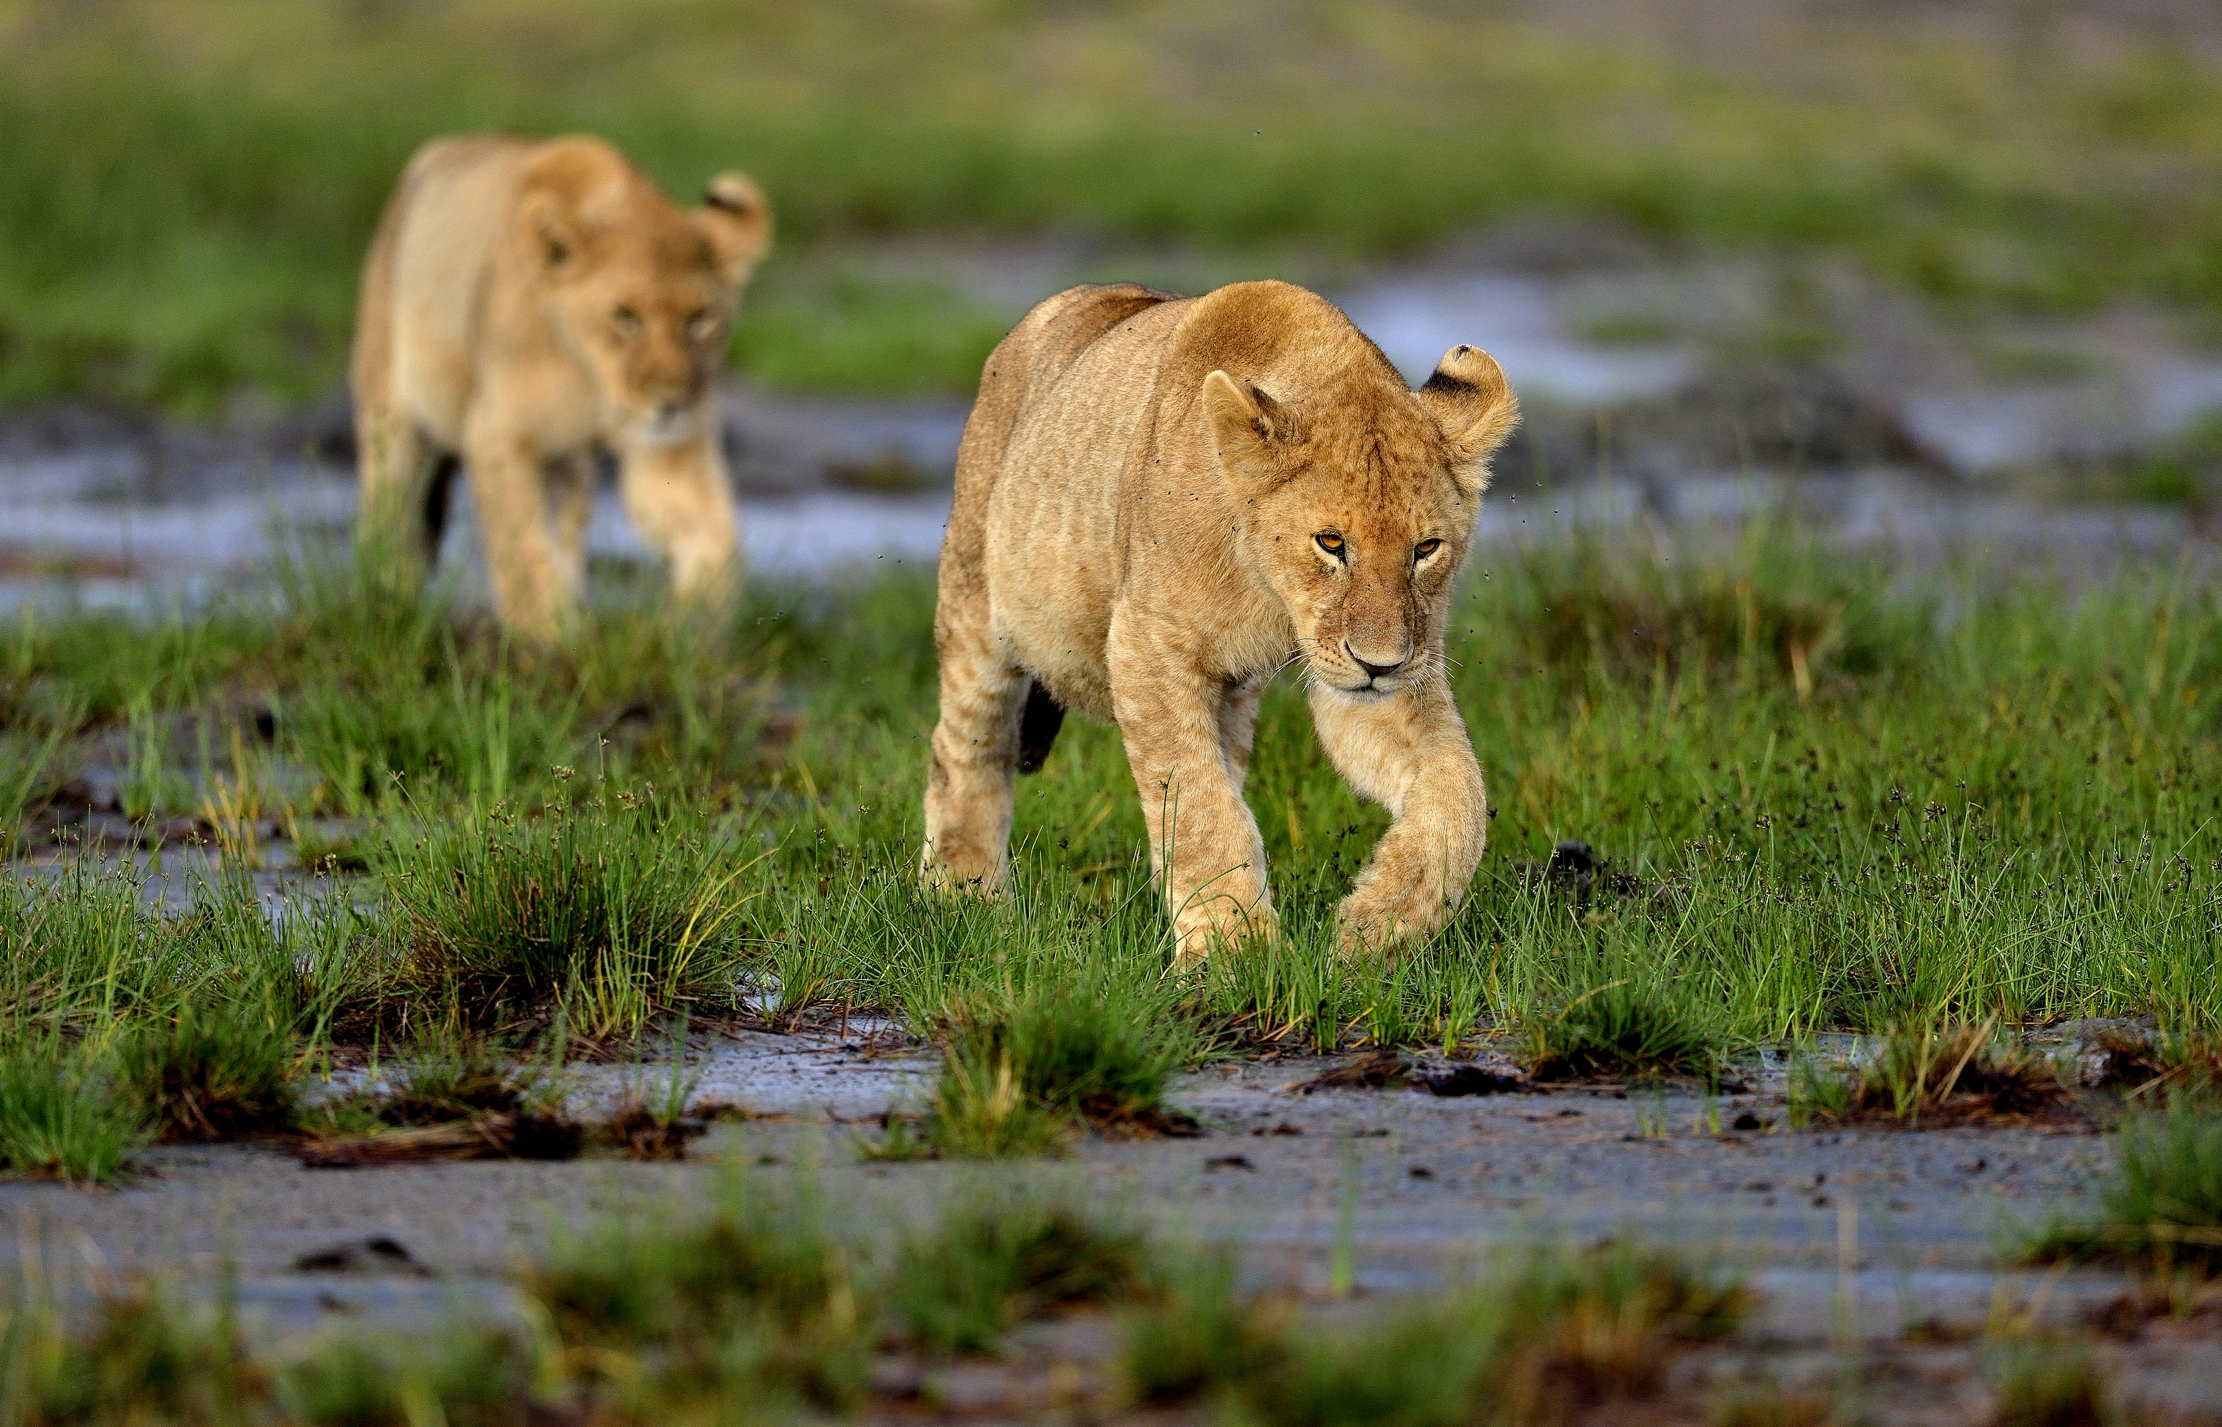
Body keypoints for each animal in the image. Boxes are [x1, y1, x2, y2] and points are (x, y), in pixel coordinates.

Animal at [350, 134, 772, 640]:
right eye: (625, 316)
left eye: (699, 319)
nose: (671, 404)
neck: (591, 382)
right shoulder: (498, 435)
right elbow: (523, 551)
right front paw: (548, 636)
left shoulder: (670, 451)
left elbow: (718, 541)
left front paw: (689, 628)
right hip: (390, 408)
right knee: (390, 508)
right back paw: (388, 598)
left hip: (569, 466)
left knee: (565, 523)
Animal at [920, 279, 1518, 964]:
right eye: (1331, 542)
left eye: (1426, 549)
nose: (1380, 663)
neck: (1270, 592)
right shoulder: (1146, 646)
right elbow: (1201, 810)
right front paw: (1235, 954)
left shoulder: (1377, 676)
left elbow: (1459, 792)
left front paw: (1381, 924)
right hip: (976, 604)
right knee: (966, 750)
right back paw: (963, 898)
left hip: (1235, 698)